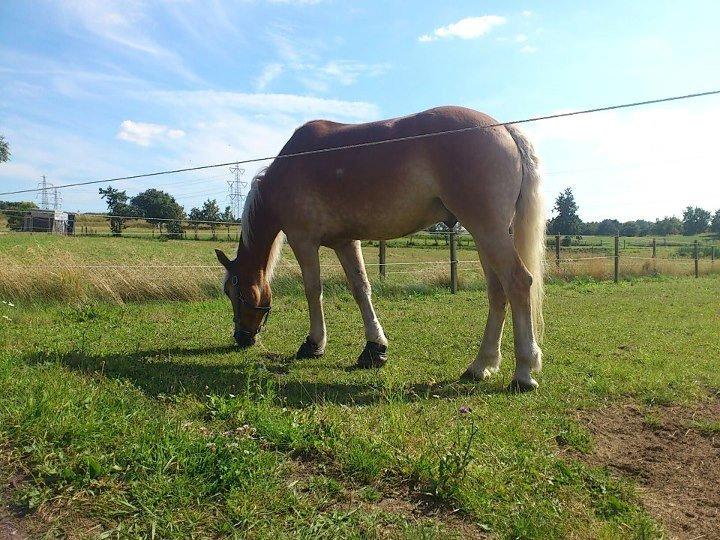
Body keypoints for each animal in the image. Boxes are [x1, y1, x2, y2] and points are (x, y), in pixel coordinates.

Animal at [214, 106, 544, 392]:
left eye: (233, 292)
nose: (241, 337)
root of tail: (503, 129)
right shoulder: (345, 242)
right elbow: (361, 289)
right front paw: (375, 349)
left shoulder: (303, 240)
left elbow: (313, 290)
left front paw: (314, 344)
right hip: (486, 236)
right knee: (498, 292)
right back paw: (481, 365)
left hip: (488, 232)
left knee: (517, 282)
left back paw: (523, 372)